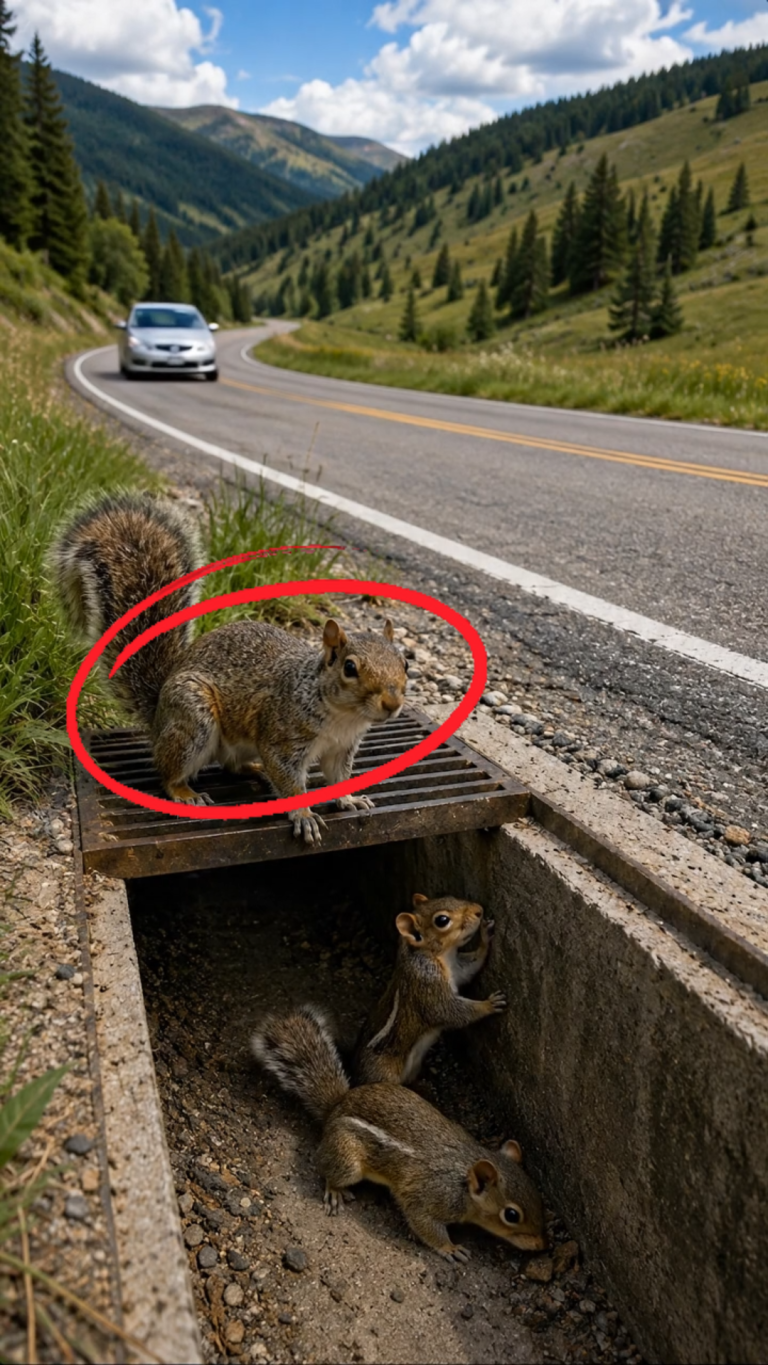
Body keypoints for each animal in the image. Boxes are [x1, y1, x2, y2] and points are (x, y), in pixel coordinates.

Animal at [52, 492, 407, 843]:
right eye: (349, 668)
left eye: (405, 662)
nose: (392, 704)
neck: (342, 717)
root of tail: (158, 712)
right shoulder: (282, 738)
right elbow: (289, 780)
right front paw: (304, 815)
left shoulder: (342, 748)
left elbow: (339, 777)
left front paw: (349, 799)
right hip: (192, 718)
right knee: (168, 771)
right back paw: (185, 792)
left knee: (229, 765)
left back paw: (253, 770)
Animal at [252, 1004, 546, 1263]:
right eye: (511, 1215)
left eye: (537, 1194)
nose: (542, 1245)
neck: (463, 1179)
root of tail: (336, 1106)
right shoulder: (428, 1199)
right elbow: (425, 1224)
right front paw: (450, 1248)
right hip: (347, 1158)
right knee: (326, 1167)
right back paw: (335, 1191)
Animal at [352, 894, 506, 1086]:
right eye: (442, 920)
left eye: (449, 896)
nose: (479, 910)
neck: (439, 956)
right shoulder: (428, 984)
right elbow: (450, 1011)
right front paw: (489, 1004)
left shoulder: (457, 969)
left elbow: (472, 965)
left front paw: (485, 936)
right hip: (382, 1074)